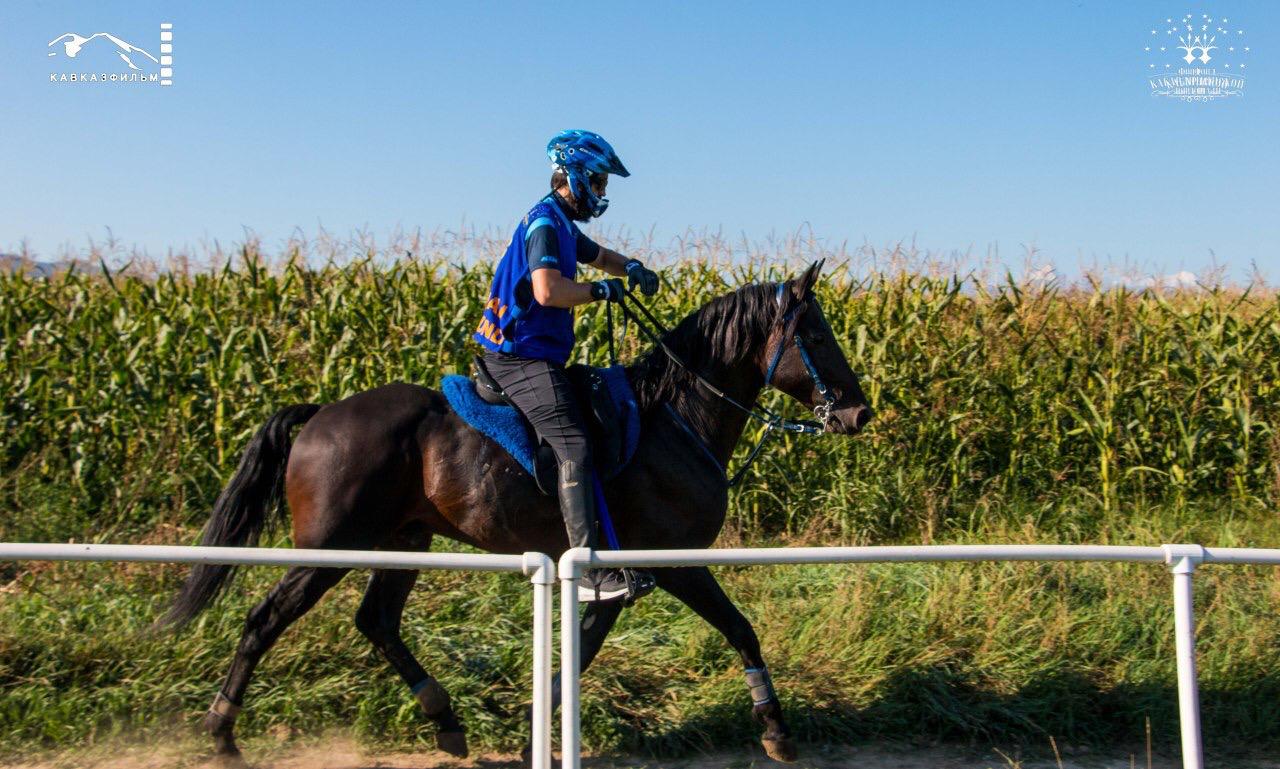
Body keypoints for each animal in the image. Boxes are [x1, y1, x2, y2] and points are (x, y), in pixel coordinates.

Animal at [162, 258, 870, 762]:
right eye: (813, 332)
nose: (858, 411)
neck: (677, 415)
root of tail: (319, 415)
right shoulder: (672, 563)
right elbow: (740, 628)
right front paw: (776, 728)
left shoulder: (613, 580)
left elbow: (581, 652)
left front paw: (538, 727)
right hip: (330, 547)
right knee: (265, 619)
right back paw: (221, 733)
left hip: (405, 541)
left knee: (377, 622)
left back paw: (446, 722)